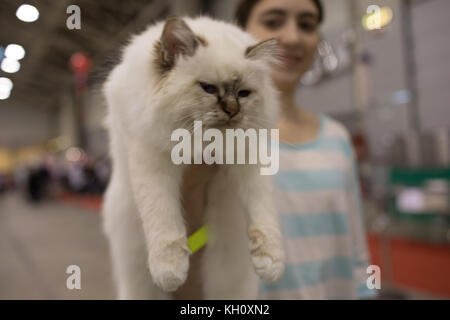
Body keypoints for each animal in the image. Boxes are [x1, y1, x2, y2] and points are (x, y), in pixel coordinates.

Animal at [102, 16, 284, 298]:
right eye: (208, 88)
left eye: (243, 93)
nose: (232, 111)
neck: (205, 144)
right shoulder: (151, 157)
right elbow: (163, 216)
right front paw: (170, 271)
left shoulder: (248, 157)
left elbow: (263, 211)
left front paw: (271, 263)